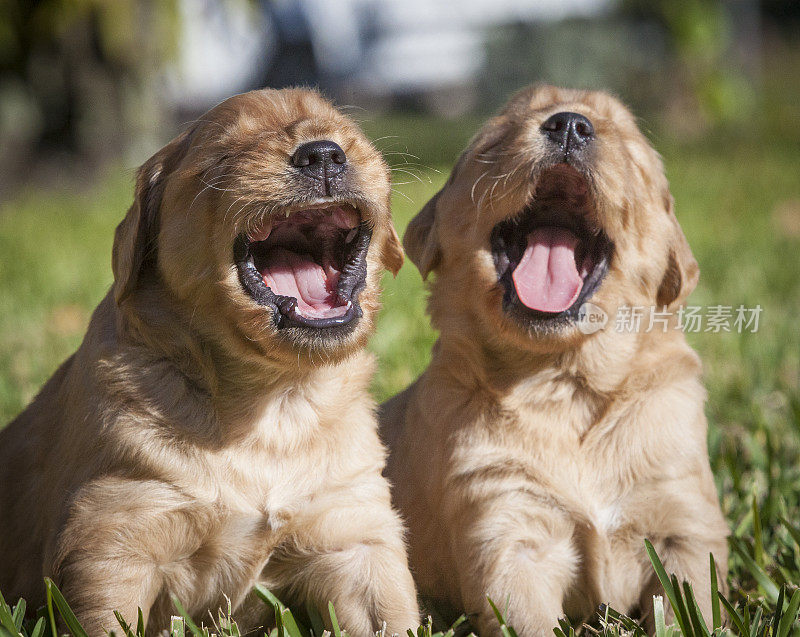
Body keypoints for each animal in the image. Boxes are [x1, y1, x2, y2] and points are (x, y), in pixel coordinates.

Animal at [0, 89, 422, 636]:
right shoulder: (113, 540)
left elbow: (395, 616)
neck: (274, 402)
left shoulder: (354, 530)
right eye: (224, 156)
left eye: (348, 135)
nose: (324, 155)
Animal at [384, 85, 728, 636]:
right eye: (497, 138)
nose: (569, 125)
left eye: (629, 149)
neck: (566, 381)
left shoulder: (685, 524)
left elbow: (692, 607)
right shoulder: (505, 525)